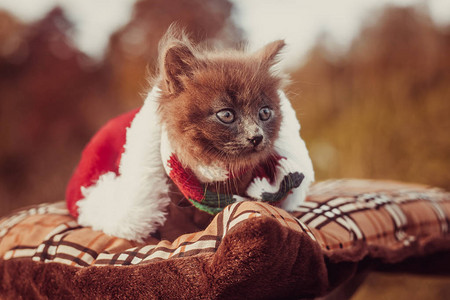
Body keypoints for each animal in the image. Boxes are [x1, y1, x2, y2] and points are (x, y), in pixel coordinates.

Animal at [65, 26, 314, 241]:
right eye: (226, 115)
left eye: (265, 112)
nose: (256, 136)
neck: (214, 176)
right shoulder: (170, 206)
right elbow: (177, 230)